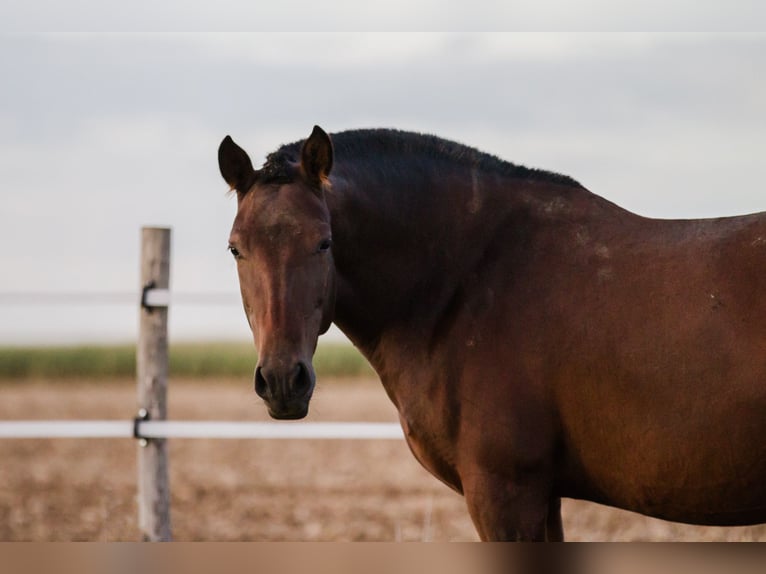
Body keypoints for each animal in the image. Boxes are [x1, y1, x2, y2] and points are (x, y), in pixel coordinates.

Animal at [216, 124, 766, 544]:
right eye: (236, 248)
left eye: (324, 242)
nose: (283, 380)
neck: (466, 279)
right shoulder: (543, 495)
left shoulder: (505, 492)